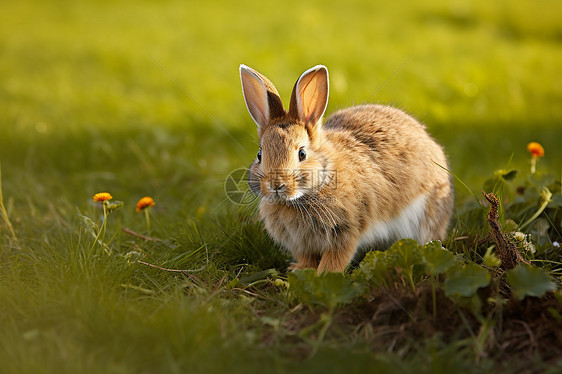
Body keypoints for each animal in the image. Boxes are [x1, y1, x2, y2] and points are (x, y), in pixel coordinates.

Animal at [238, 64, 452, 274]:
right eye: (260, 155)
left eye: (302, 154)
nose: (275, 184)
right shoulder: (302, 245)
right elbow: (306, 259)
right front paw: (300, 270)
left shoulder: (345, 232)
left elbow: (335, 259)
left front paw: (324, 275)